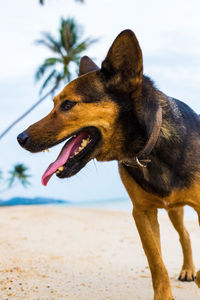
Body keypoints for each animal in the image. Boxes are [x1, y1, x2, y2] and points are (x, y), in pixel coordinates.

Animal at [17, 28, 200, 300]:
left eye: (68, 104)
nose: (20, 138)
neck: (151, 147)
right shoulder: (142, 213)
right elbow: (157, 264)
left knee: (185, 234)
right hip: (172, 208)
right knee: (185, 235)